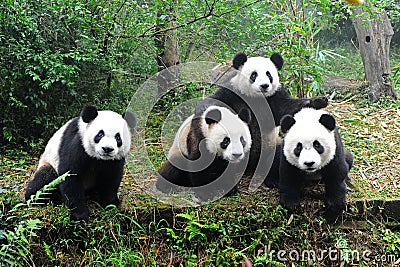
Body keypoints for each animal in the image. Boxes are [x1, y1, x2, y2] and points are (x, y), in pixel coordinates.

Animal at [198, 52, 330, 178]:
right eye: (254, 75)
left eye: (269, 74)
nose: (264, 85)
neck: (257, 98)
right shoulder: (234, 93)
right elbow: (216, 101)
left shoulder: (274, 97)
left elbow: (288, 108)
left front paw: (318, 101)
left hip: (274, 144)